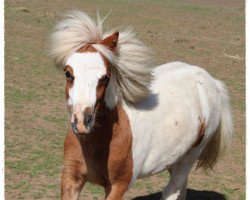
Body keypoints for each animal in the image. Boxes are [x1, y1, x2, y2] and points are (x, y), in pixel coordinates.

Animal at [48, 10, 232, 200]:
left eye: (105, 77)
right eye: (68, 73)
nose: (82, 122)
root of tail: (212, 82)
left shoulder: (118, 185)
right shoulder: (71, 178)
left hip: (191, 155)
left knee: (172, 190)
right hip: (175, 158)